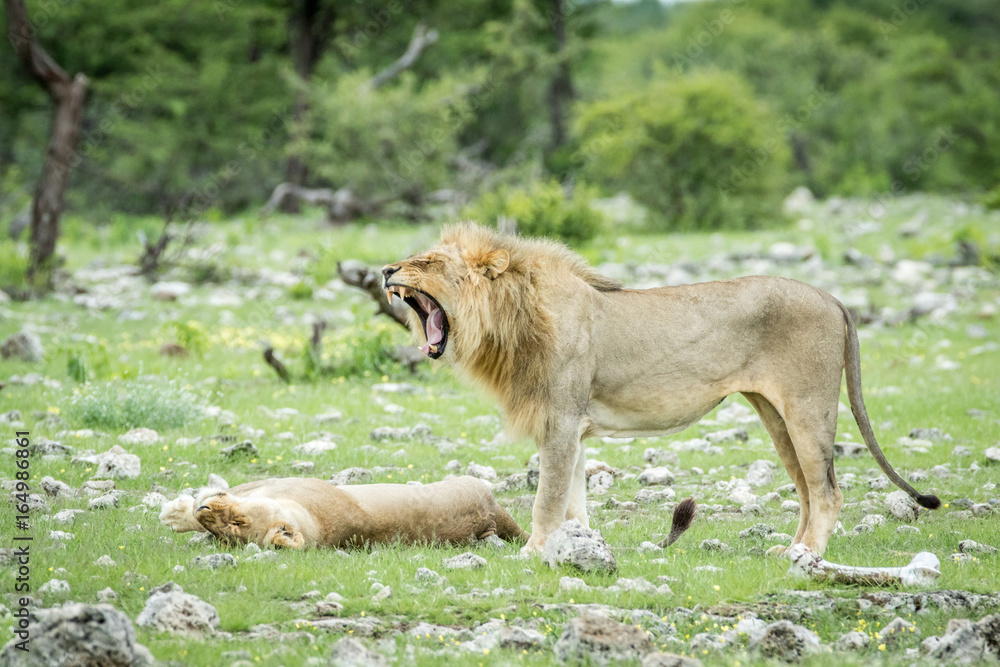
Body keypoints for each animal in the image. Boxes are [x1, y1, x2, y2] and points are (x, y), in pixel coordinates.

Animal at [382, 222, 940, 557]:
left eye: (427, 262)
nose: (386, 269)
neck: (511, 319)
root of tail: (832, 297)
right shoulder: (572, 427)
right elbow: (574, 498)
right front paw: (577, 546)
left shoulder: (560, 420)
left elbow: (547, 498)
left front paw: (534, 552)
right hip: (776, 413)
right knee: (806, 488)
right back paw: (789, 550)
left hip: (808, 407)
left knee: (827, 490)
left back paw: (807, 556)